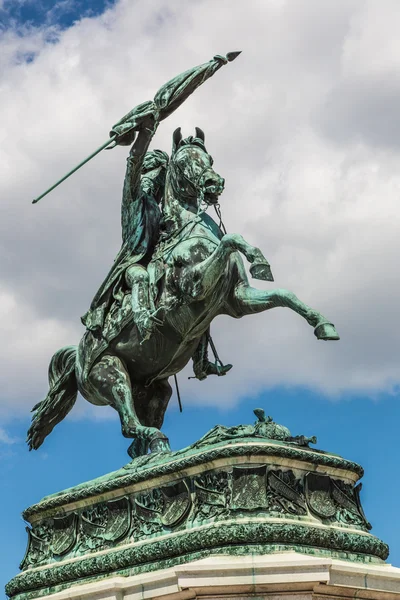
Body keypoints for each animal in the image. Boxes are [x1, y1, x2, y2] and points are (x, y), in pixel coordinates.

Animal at [28, 125, 340, 454]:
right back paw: (156, 438)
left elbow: (284, 294)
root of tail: (76, 361)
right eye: (181, 162)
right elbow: (231, 239)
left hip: (155, 392)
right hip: (111, 373)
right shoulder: (193, 285)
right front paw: (257, 257)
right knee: (128, 422)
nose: (214, 182)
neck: (186, 228)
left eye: (209, 157)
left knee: (135, 443)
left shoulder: (237, 300)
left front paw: (322, 324)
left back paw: (161, 450)